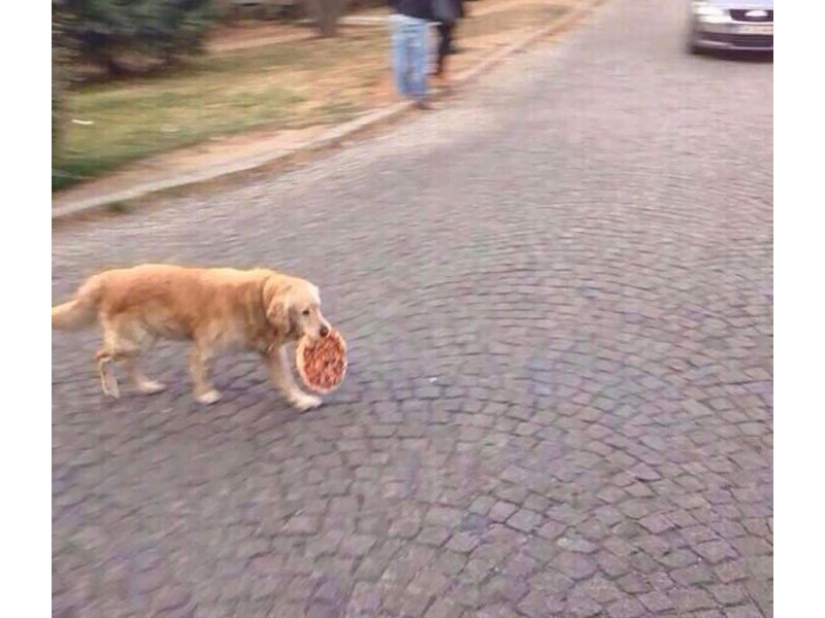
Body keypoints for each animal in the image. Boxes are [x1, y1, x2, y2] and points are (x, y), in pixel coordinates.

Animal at [51, 262, 332, 410]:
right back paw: (110, 387)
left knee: (128, 364)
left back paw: (146, 386)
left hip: (143, 339)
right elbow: (200, 369)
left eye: (319, 307)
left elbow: (287, 380)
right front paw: (205, 394)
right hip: (133, 339)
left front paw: (301, 399)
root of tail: (106, 278)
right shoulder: (203, 345)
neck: (259, 297)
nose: (325, 331)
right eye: (305, 312)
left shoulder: (270, 351)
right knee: (100, 356)